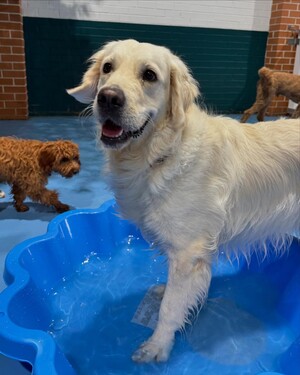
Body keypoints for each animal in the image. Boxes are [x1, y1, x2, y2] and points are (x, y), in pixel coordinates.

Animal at [68, 39, 300, 364]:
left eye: (149, 75)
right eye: (107, 68)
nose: (108, 98)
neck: (163, 152)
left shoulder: (187, 251)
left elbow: (170, 308)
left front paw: (157, 346)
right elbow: (178, 293)